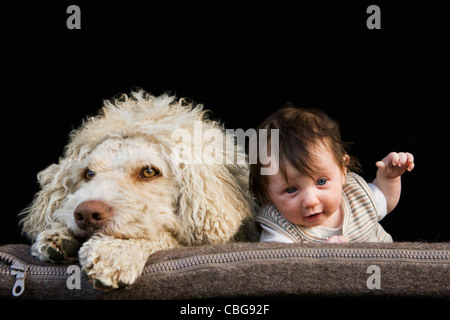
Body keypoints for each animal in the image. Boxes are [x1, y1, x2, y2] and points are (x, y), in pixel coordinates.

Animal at [20, 90, 256, 290]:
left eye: (149, 171)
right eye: (88, 173)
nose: (86, 213)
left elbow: (164, 237)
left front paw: (117, 252)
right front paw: (58, 234)